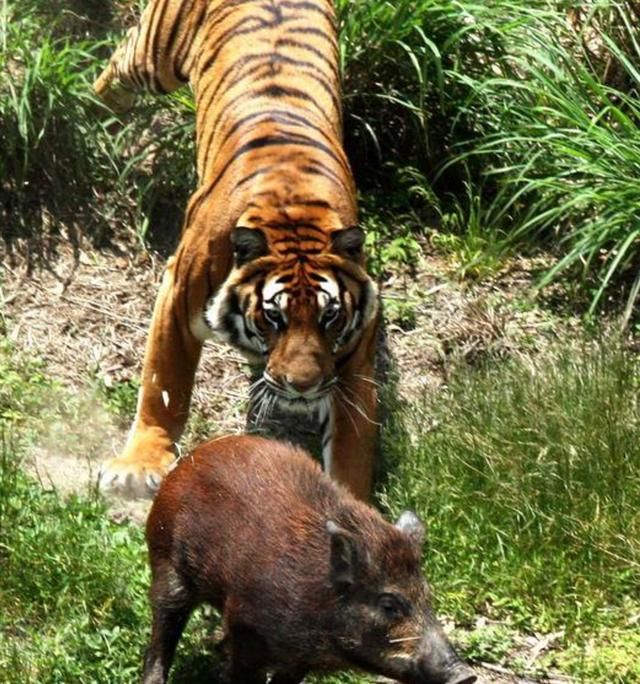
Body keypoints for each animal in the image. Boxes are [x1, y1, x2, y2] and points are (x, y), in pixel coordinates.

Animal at [95, 0, 380, 502]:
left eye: (330, 317)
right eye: (274, 316)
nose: (303, 387)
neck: (294, 213)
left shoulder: (351, 360)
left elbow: (351, 450)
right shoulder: (176, 295)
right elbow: (164, 384)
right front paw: (140, 466)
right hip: (153, 58)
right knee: (116, 69)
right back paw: (92, 107)